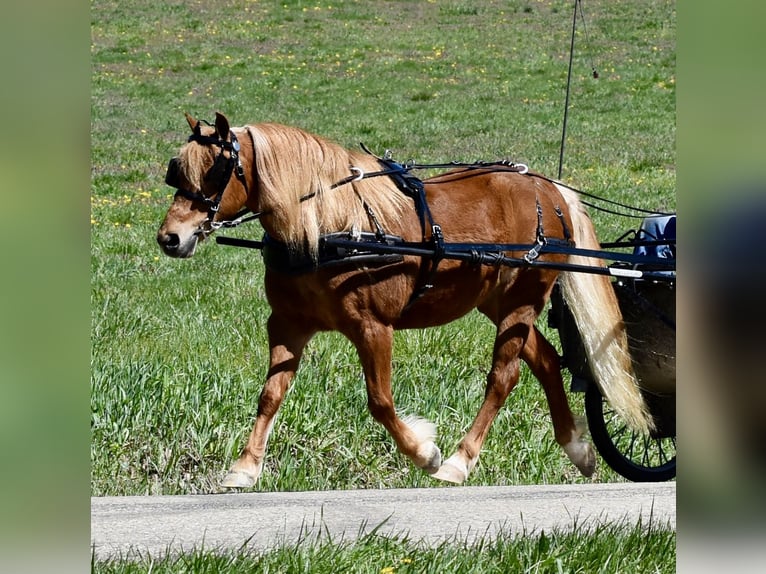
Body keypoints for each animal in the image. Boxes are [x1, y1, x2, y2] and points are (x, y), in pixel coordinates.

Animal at [157, 112, 653, 488]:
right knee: (546, 362)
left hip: (522, 301)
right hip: (501, 304)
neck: (329, 228)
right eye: (176, 171)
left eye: (217, 170)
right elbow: (270, 394)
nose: (170, 238)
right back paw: (576, 448)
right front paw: (245, 466)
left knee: (503, 377)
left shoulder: (373, 328)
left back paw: (459, 460)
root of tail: (549, 189)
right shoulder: (288, 325)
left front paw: (424, 452)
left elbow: (380, 401)